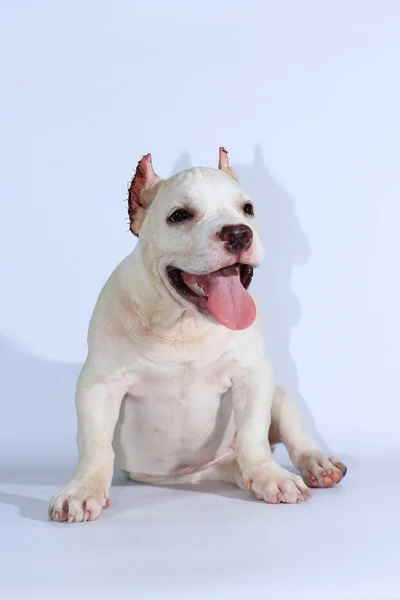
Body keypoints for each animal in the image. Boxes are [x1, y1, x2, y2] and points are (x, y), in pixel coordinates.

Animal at [48, 148, 346, 524]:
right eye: (179, 216)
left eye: (247, 209)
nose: (238, 233)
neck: (184, 324)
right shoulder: (99, 386)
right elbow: (95, 445)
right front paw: (83, 490)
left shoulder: (253, 375)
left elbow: (253, 434)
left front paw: (271, 475)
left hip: (279, 397)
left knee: (289, 436)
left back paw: (317, 464)